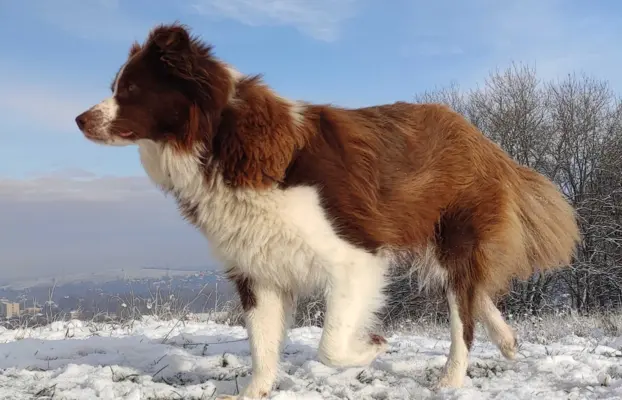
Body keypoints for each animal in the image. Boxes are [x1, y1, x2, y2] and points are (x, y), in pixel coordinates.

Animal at [75, 22, 584, 400]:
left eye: (132, 88)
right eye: (115, 86)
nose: (79, 119)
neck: (222, 140)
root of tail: (482, 139)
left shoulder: (355, 256)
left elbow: (330, 345)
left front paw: (372, 346)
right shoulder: (256, 268)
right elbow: (263, 346)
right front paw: (257, 389)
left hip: (455, 234)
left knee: (463, 315)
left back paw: (452, 377)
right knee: (474, 295)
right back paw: (508, 340)